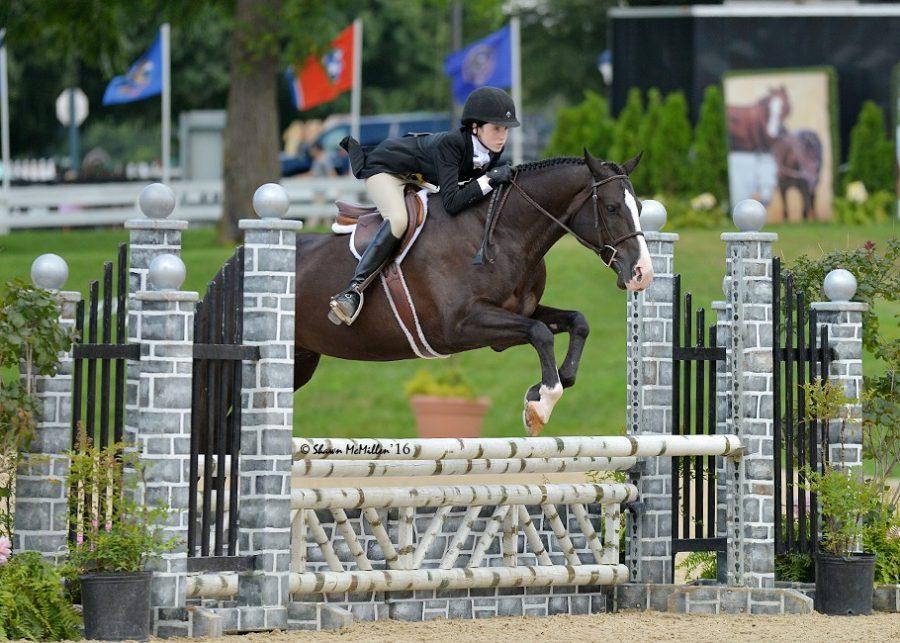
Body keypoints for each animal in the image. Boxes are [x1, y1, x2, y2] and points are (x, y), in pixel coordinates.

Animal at [296, 150, 652, 438]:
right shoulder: (459, 326)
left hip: (303, 358)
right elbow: (540, 333)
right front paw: (541, 404)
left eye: (640, 207)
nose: (642, 273)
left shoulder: (514, 317)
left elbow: (576, 322)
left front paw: (544, 389)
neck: (502, 233)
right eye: (612, 207)